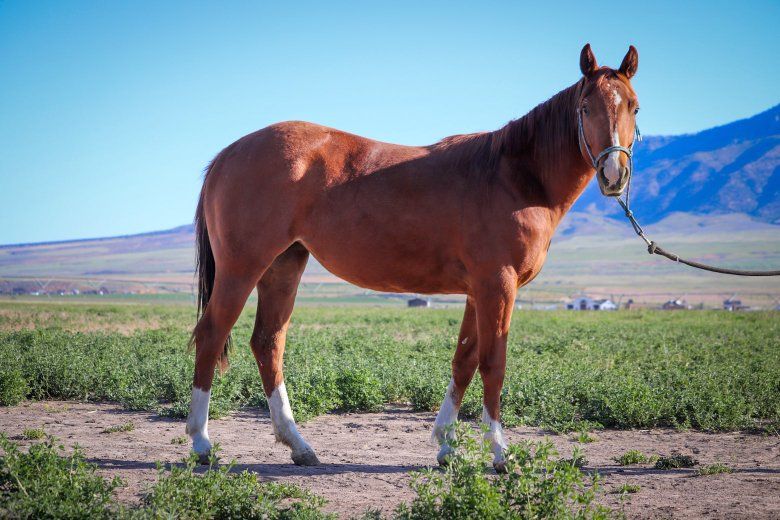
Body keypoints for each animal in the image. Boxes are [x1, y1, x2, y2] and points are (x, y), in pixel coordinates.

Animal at [185, 44, 640, 471]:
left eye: (634, 106)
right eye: (586, 107)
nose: (614, 174)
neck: (516, 175)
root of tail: (226, 155)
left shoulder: (478, 291)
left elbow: (464, 361)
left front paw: (446, 446)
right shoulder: (498, 285)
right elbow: (493, 364)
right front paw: (499, 453)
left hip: (284, 265)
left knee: (267, 343)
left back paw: (299, 446)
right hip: (242, 268)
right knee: (211, 335)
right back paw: (202, 443)